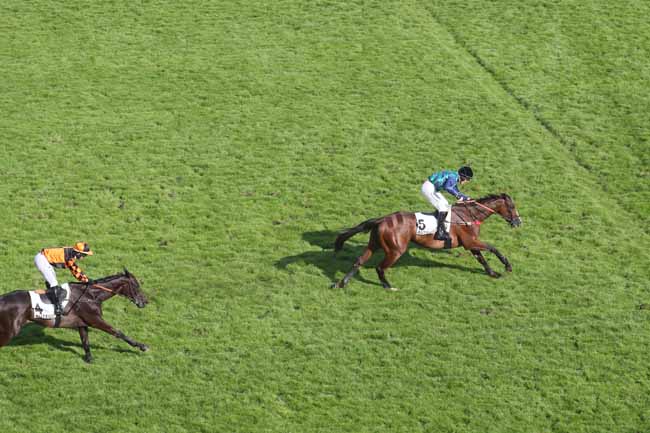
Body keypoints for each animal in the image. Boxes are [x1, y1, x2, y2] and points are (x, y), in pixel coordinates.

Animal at [0, 268, 148, 362]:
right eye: (136, 285)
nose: (145, 301)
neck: (91, 295)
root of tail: (2, 299)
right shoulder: (95, 320)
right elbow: (118, 332)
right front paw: (142, 346)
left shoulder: (82, 323)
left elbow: (85, 341)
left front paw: (89, 358)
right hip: (10, 331)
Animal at [332, 193, 520, 290]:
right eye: (512, 207)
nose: (518, 222)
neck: (469, 215)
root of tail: (381, 220)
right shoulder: (470, 242)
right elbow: (493, 248)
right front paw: (508, 266)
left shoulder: (470, 243)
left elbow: (481, 258)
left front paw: (492, 273)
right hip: (395, 250)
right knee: (380, 267)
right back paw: (388, 286)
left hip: (374, 244)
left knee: (359, 261)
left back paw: (342, 283)